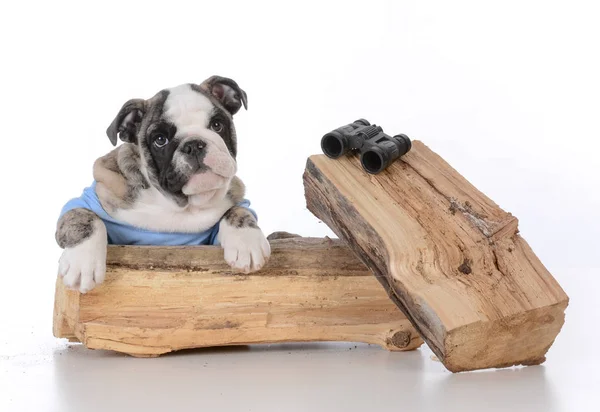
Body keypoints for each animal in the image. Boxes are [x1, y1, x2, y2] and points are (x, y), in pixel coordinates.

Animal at [55, 75, 270, 292]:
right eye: (160, 140)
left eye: (217, 125)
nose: (193, 145)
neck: (177, 205)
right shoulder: (89, 200)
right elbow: (83, 217)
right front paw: (82, 262)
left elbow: (237, 210)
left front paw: (245, 240)